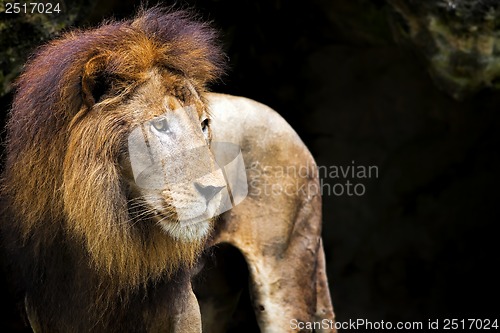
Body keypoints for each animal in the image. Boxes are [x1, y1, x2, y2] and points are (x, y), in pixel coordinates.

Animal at [0, 5, 336, 332]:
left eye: (203, 125)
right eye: (160, 125)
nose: (216, 191)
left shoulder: (181, 304)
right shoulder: (43, 309)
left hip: (285, 266)